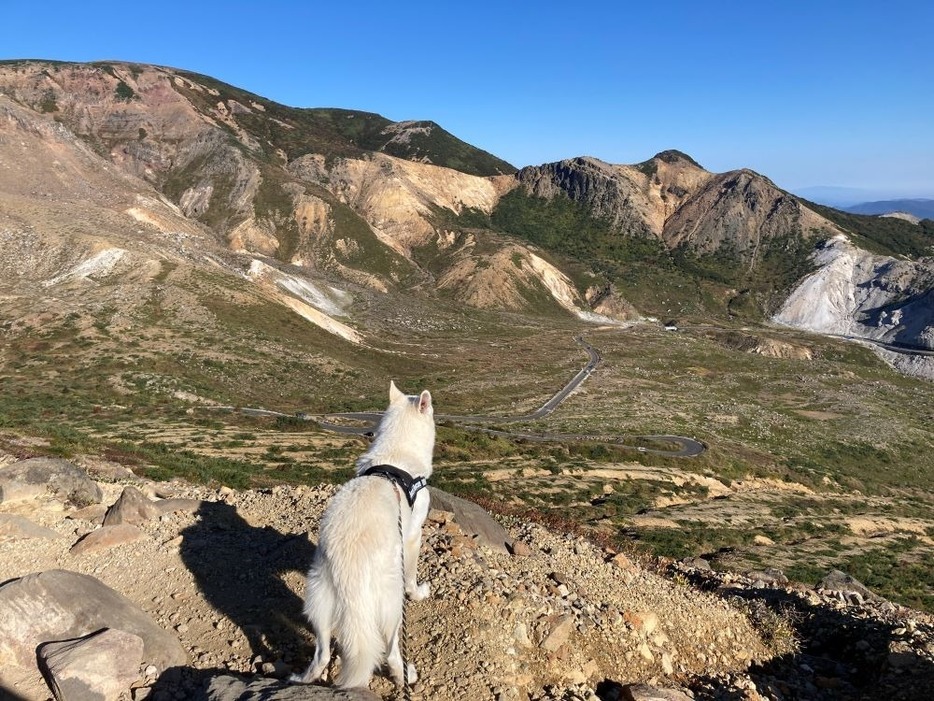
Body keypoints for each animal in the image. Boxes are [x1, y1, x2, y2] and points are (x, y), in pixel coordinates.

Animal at [294, 380, 436, 688]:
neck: (395, 454)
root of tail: (351, 575)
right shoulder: (413, 538)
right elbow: (412, 576)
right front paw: (419, 593)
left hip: (318, 601)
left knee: (322, 655)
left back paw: (301, 678)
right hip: (391, 605)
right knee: (391, 652)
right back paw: (406, 676)